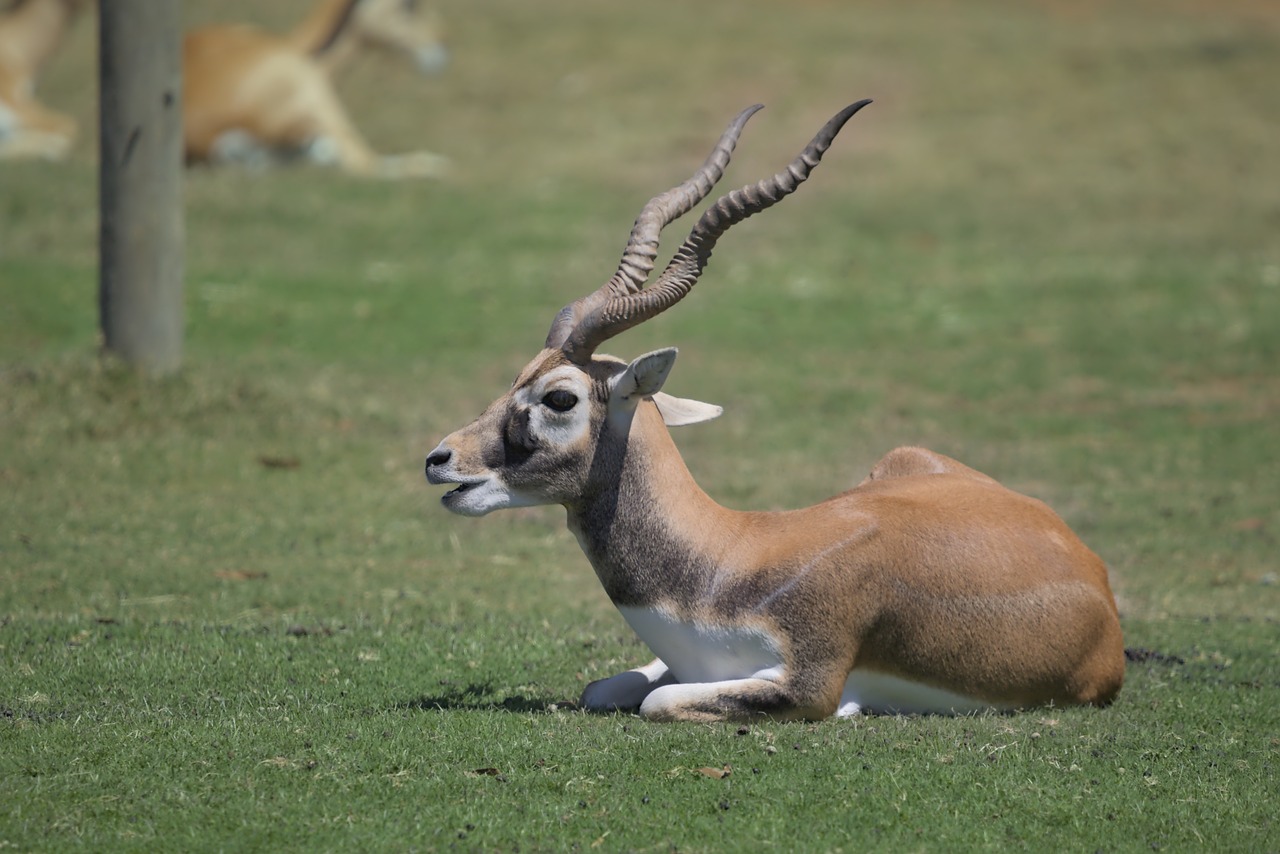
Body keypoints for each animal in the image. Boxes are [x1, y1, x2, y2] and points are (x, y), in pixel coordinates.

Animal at [424, 101, 1126, 722]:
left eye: (559, 397)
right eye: (516, 376)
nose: (439, 459)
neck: (725, 560)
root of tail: (1089, 565)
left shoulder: (806, 684)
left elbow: (658, 702)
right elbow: (608, 687)